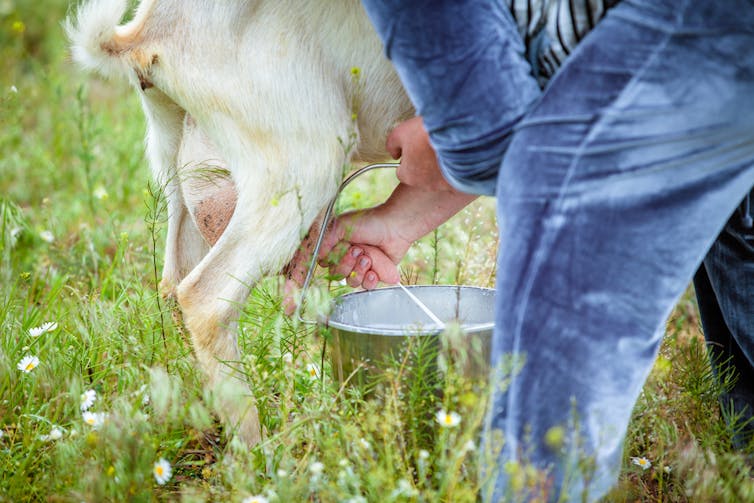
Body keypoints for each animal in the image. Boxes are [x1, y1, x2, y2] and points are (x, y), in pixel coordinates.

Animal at [67, 0, 412, 444]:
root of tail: (147, 30)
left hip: (181, 171)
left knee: (172, 284)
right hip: (303, 158)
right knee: (204, 299)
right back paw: (260, 451)